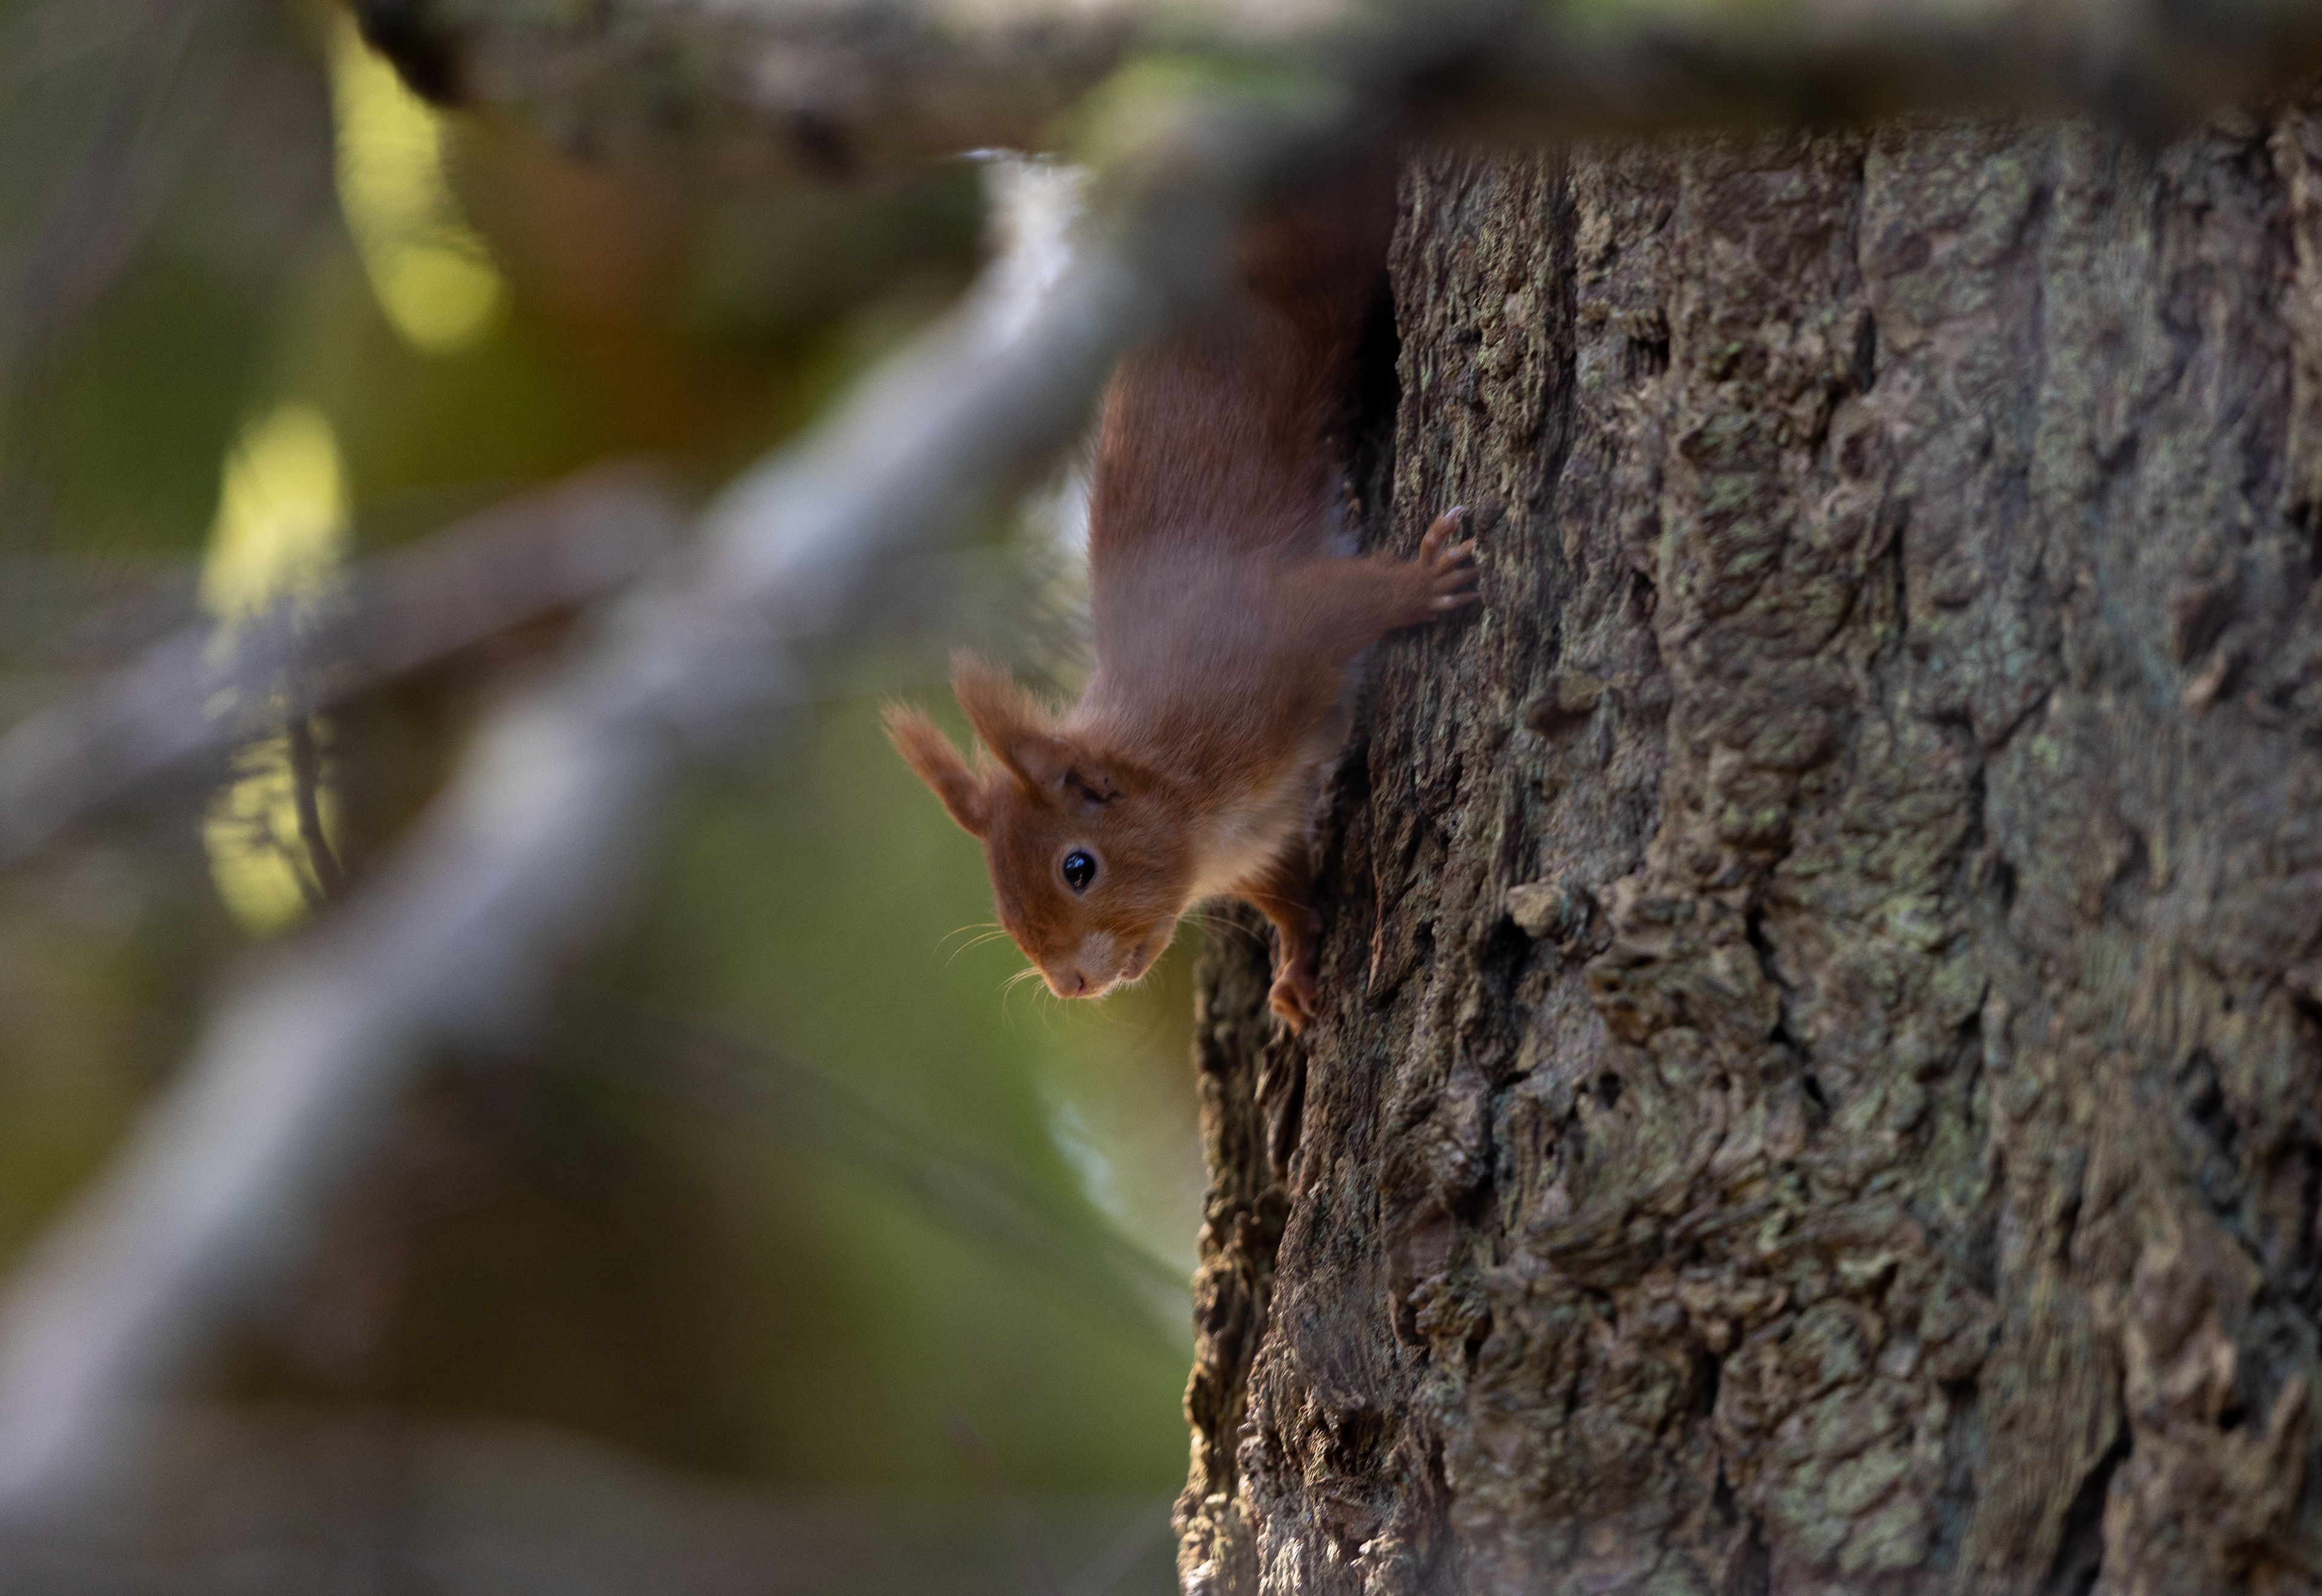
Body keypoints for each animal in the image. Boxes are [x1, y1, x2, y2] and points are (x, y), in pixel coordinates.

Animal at [885, 168, 1476, 1031]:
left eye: (1078, 867)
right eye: (1000, 902)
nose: (1071, 984)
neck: (1193, 803)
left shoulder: (1254, 641)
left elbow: (1342, 603)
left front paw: (1424, 581)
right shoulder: (1257, 840)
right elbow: (1285, 893)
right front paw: (1297, 964)